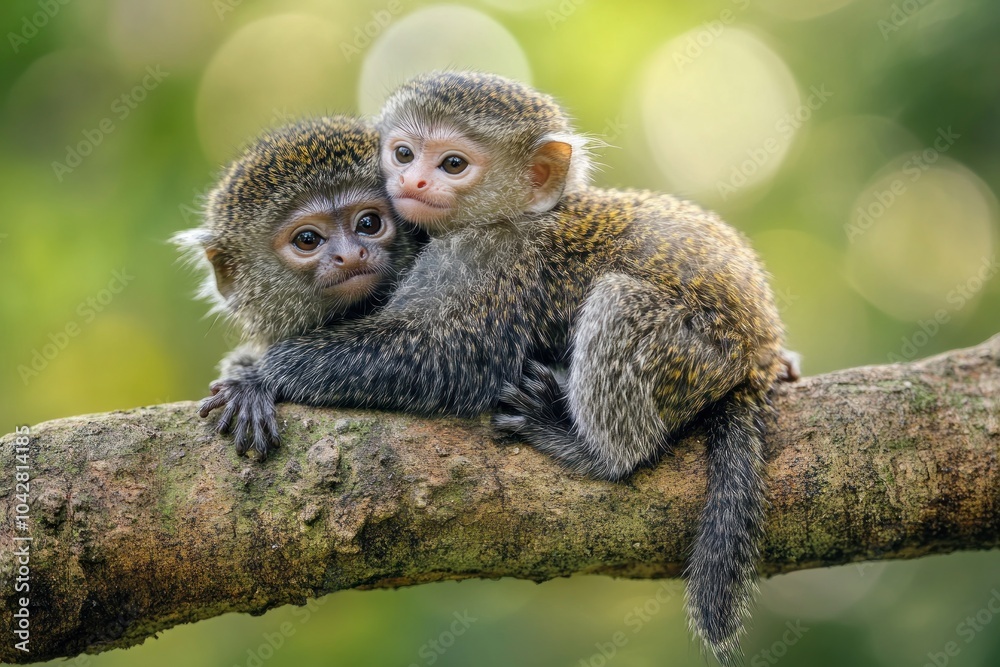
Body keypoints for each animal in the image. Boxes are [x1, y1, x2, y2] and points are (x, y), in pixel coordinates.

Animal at [200, 72, 785, 665]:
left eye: (368, 223)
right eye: (308, 240)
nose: (411, 180)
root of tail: (753, 354)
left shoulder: (497, 263)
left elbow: (451, 356)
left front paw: (262, 376)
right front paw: (245, 364)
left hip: (697, 352)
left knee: (619, 303)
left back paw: (597, 451)